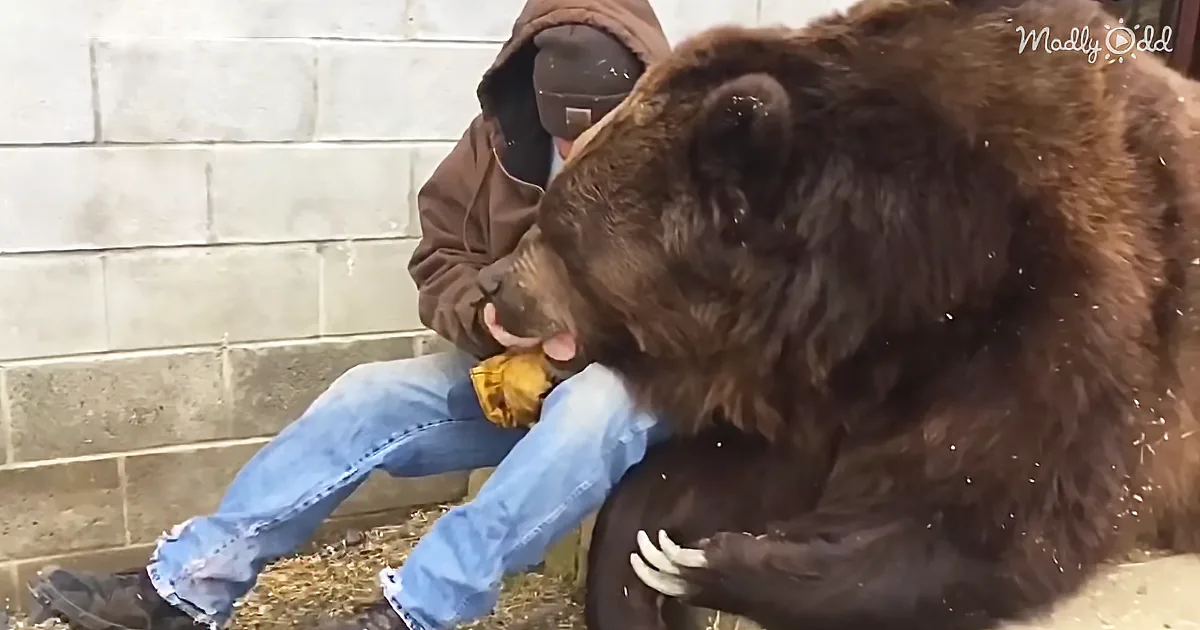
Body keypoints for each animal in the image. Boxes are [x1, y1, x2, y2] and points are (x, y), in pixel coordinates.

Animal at [478, 0, 1200, 628]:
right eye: (548, 210)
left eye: (556, 229)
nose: (492, 283)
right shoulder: (811, 381)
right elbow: (715, 474)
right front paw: (650, 559)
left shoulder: (1065, 312)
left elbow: (998, 515)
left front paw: (708, 563)